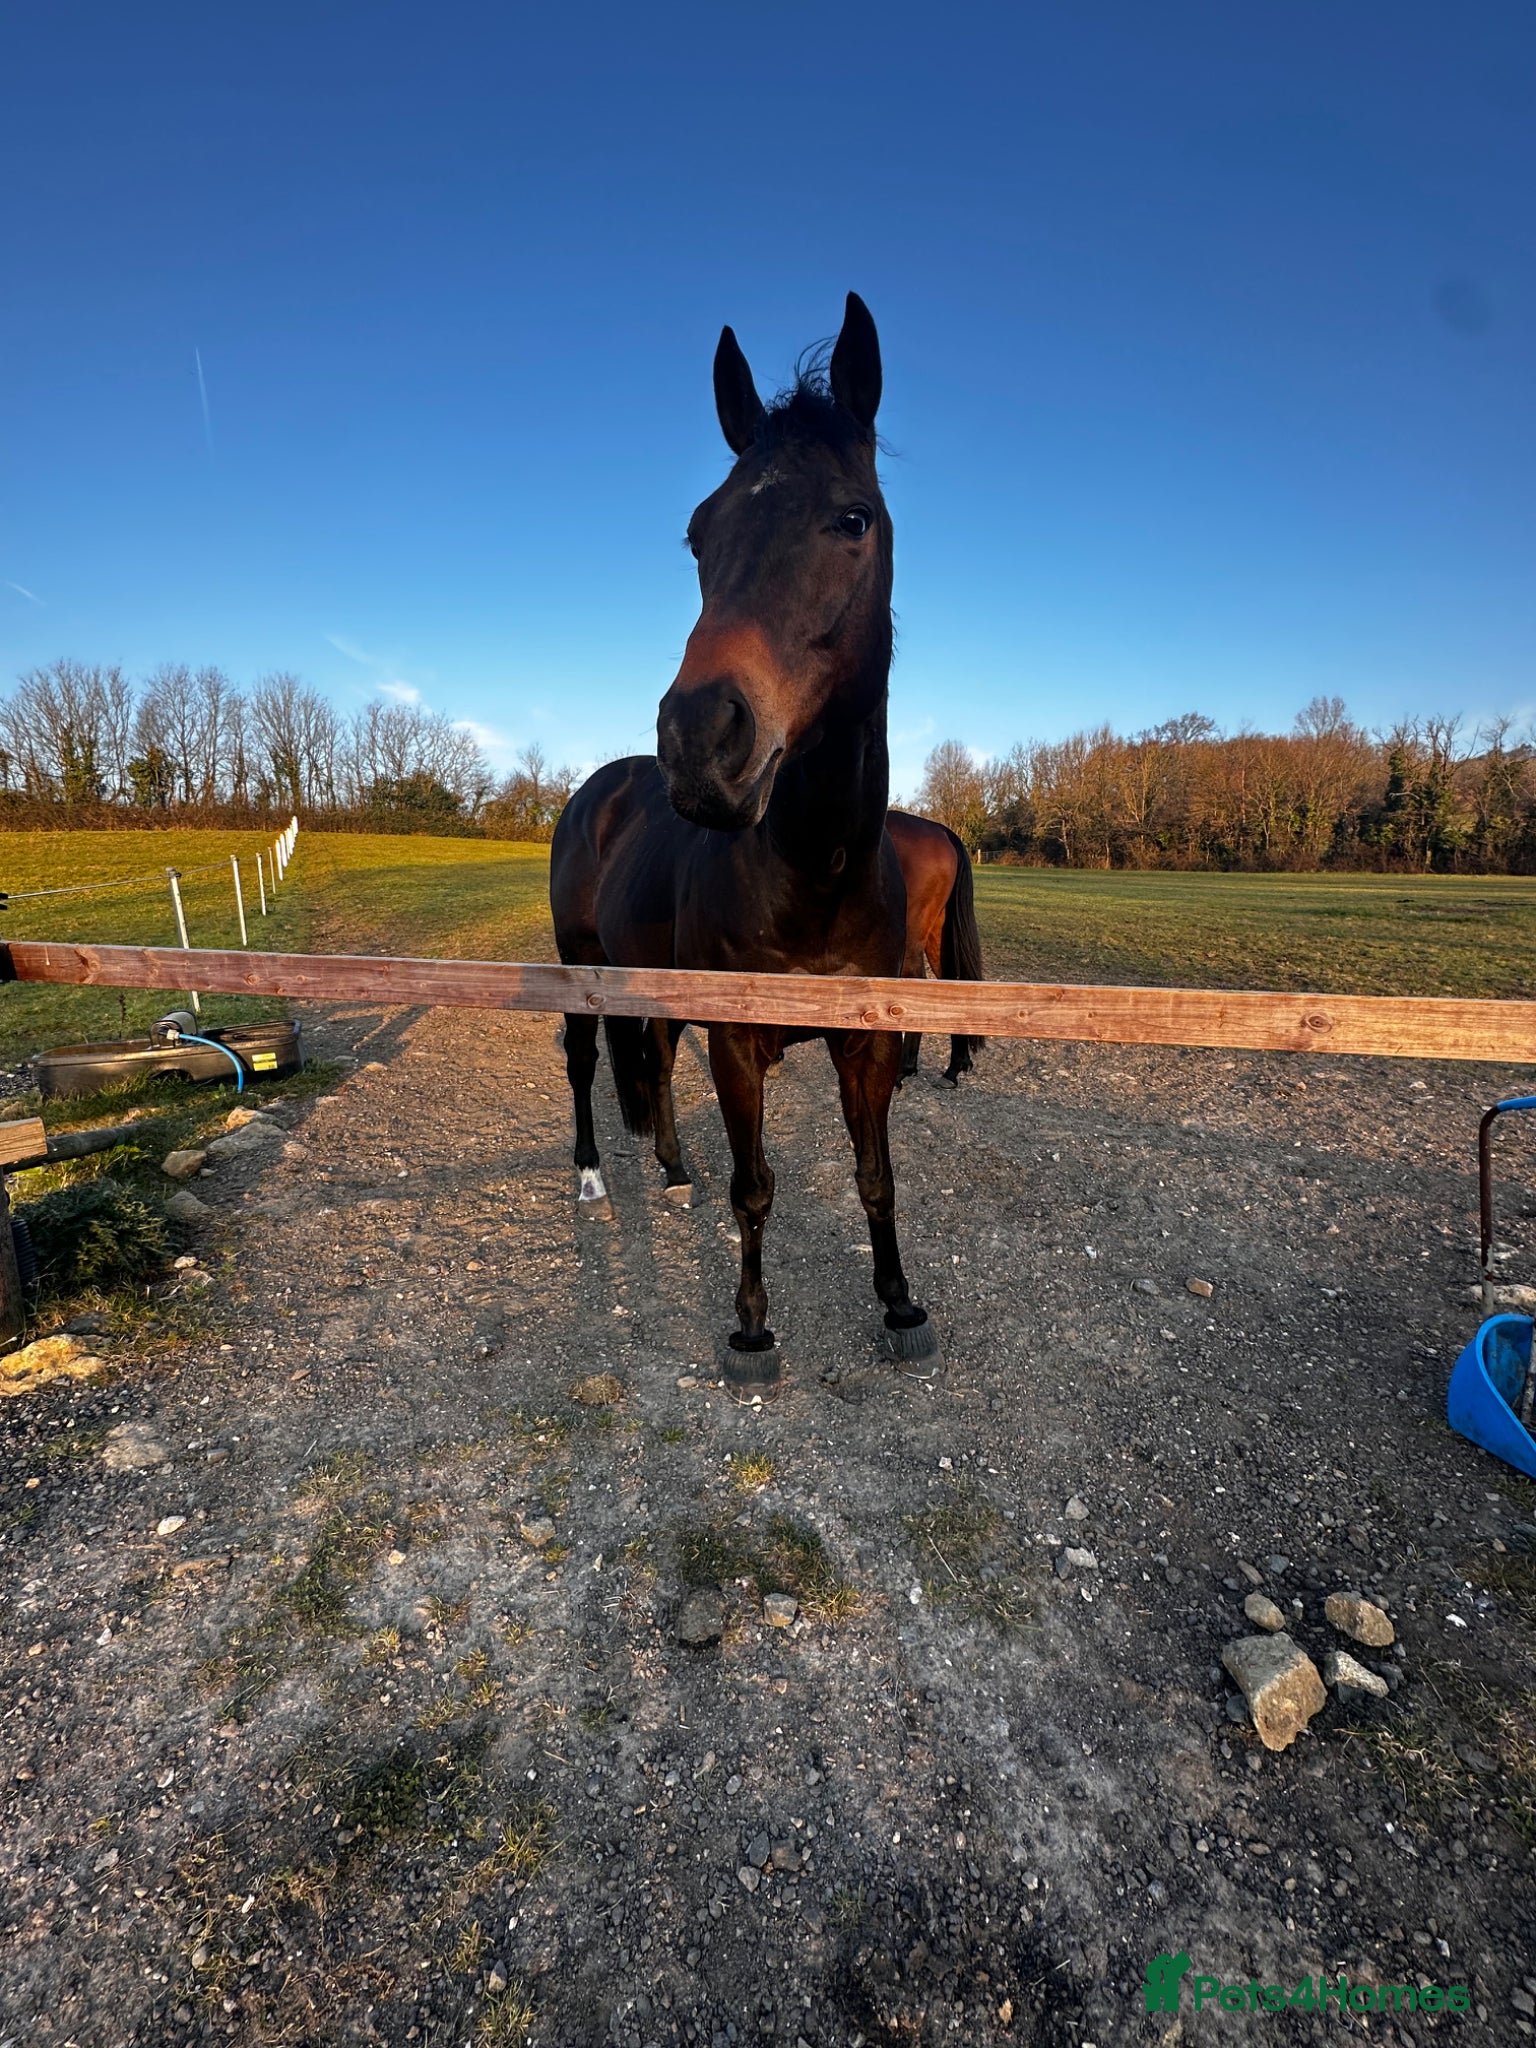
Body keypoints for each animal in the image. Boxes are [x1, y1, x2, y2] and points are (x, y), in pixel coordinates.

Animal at [549, 292, 938, 1399]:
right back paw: (595, 1173)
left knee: (651, 1054)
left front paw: (900, 1305)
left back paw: (671, 1168)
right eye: (698, 533)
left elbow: (875, 1175)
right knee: (586, 1060)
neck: (814, 874)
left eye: (852, 518)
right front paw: (752, 1327)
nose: (698, 741)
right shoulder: (738, 1040)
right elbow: (757, 1185)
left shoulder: (867, 1038)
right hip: (580, 963)